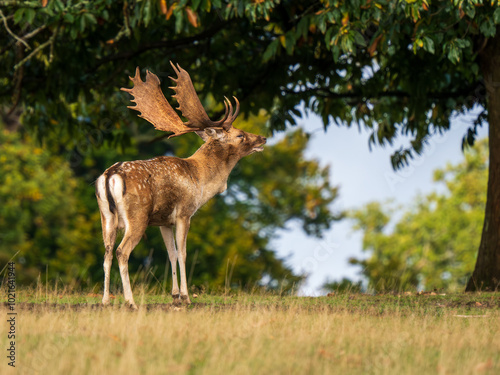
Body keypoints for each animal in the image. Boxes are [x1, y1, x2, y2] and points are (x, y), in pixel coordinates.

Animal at [94, 62, 266, 308]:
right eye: (240, 135)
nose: (263, 138)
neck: (200, 179)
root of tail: (110, 175)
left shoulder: (164, 221)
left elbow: (171, 253)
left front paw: (174, 294)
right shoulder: (185, 212)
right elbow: (183, 252)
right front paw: (185, 296)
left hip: (106, 217)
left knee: (107, 252)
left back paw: (105, 300)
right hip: (137, 216)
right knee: (121, 252)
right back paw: (130, 301)